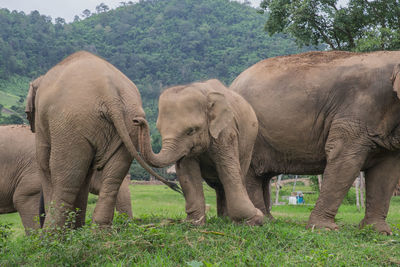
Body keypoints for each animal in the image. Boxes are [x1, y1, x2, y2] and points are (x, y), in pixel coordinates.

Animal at [27, 50, 179, 230]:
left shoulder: (42, 123)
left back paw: (51, 235)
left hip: (70, 124)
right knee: (112, 177)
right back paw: (97, 232)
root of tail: (109, 93)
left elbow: (44, 163)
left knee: (64, 177)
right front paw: (76, 230)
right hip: (128, 124)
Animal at [136, 79, 264, 226]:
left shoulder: (226, 131)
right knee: (219, 185)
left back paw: (227, 219)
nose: (137, 120)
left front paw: (255, 219)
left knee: (236, 174)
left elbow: (228, 169)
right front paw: (194, 223)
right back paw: (223, 218)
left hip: (249, 143)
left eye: (191, 131)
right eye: (159, 129)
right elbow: (188, 171)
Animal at [228, 50, 400, 234]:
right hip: (247, 132)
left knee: (264, 176)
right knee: (251, 173)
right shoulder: (355, 112)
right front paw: (325, 229)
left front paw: (379, 231)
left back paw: (269, 219)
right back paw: (258, 222)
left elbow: (387, 172)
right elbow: (344, 158)